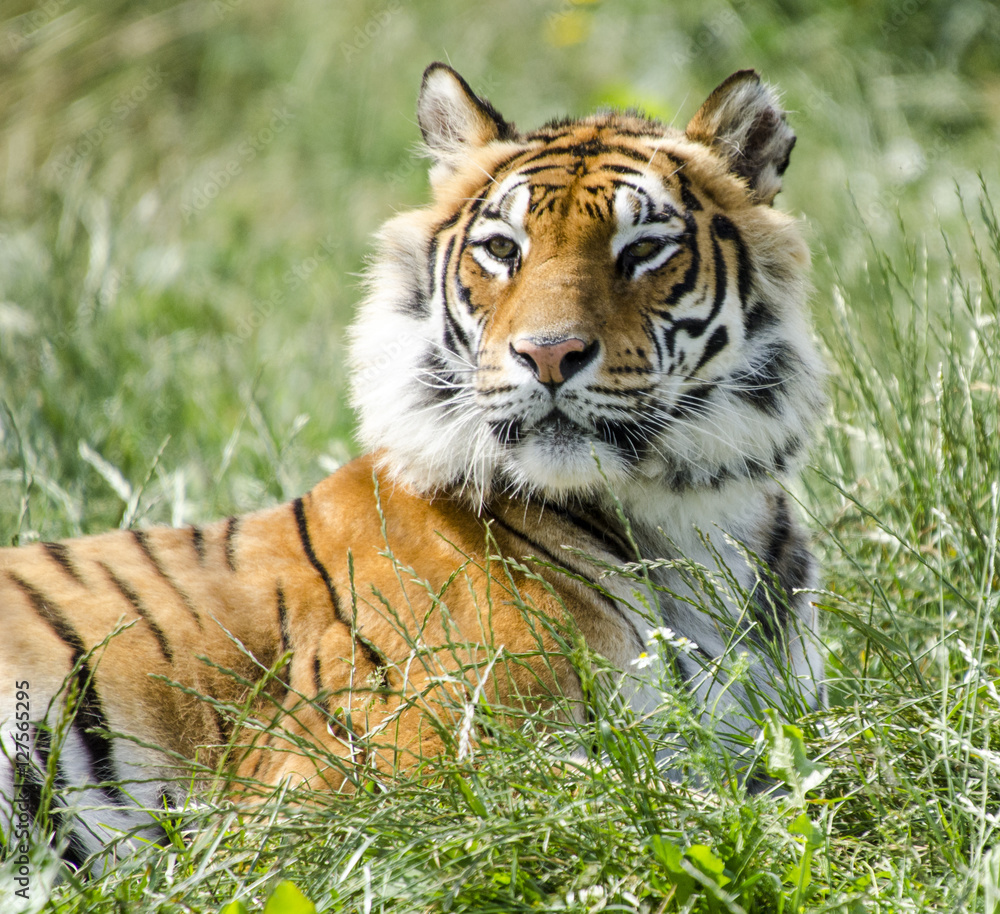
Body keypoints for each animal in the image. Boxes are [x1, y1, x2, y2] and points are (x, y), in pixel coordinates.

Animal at [0, 64, 826, 866]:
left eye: (644, 249)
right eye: (503, 250)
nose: (548, 354)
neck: (687, 510)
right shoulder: (342, 791)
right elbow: (619, 790)